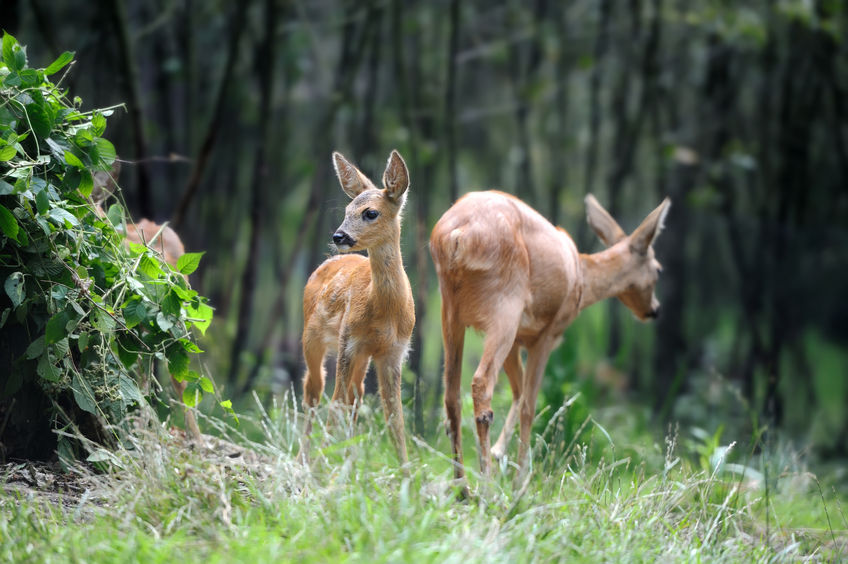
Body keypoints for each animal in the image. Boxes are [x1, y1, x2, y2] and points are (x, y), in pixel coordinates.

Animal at [300, 150, 416, 468]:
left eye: (370, 213)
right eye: (346, 209)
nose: (339, 236)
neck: (385, 311)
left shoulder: (394, 352)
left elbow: (395, 417)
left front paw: (408, 473)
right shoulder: (348, 342)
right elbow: (335, 403)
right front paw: (322, 468)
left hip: (363, 355)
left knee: (356, 396)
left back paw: (347, 460)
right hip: (312, 338)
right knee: (314, 390)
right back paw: (305, 460)